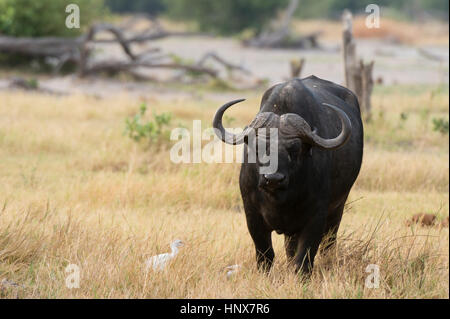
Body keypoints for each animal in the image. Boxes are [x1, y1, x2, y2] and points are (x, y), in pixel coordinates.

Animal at [213, 75, 364, 276]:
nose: (273, 179)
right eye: (259, 147)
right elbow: (265, 255)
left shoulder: (316, 217)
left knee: (329, 243)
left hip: (337, 208)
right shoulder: (252, 215)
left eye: (295, 148)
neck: (279, 198)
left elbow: (304, 260)